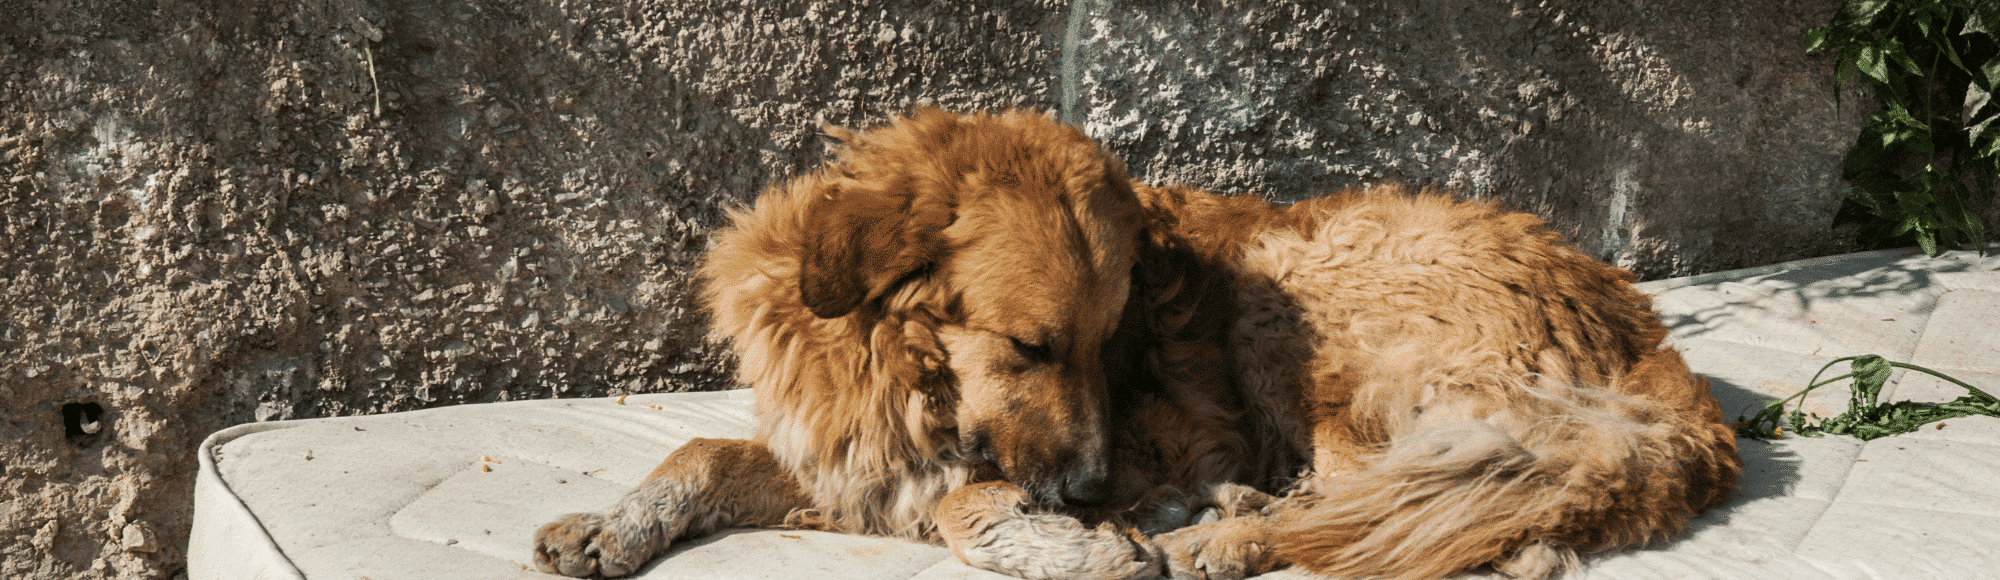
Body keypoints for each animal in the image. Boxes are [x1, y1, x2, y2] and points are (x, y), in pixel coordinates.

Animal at [528, 110, 1736, 580]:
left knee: (1405, 509)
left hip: (1290, 300)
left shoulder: (941, 475)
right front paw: (607, 525)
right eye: (1031, 345)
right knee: (1481, 528)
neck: (890, 362)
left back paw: (1218, 536)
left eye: (1109, 343)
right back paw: (1221, 514)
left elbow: (972, 505)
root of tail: (1652, 344)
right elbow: (699, 456)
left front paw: (1074, 540)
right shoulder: (851, 461)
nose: (1088, 485)